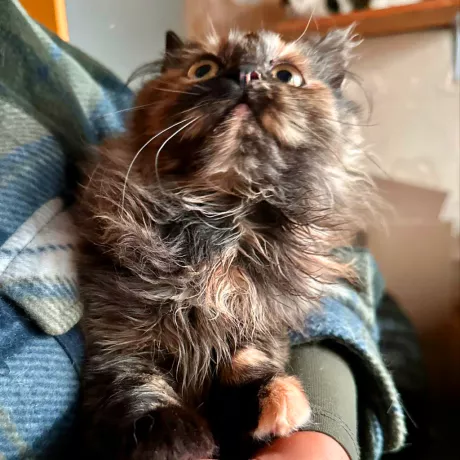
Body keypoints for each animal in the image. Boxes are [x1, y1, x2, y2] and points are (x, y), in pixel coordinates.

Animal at [75, 27, 370, 460]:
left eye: (286, 76)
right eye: (204, 69)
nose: (246, 74)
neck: (220, 218)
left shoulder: (258, 322)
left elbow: (245, 360)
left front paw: (268, 397)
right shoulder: (119, 331)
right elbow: (138, 384)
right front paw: (172, 438)